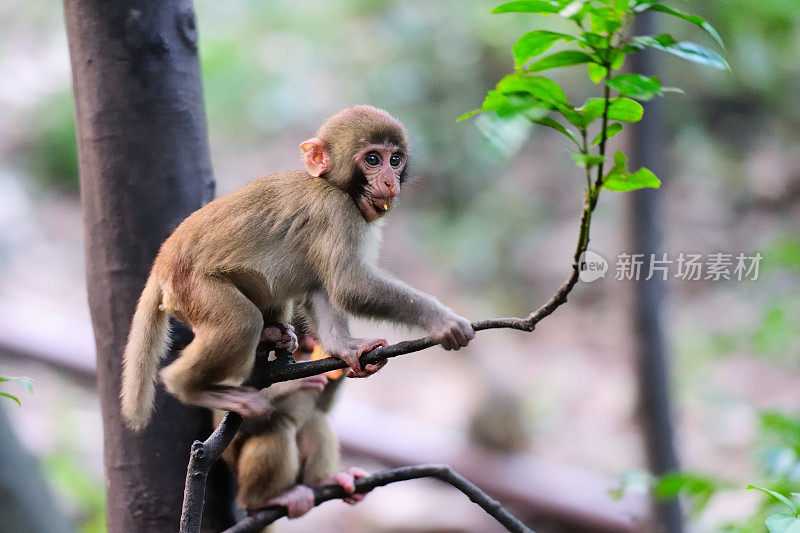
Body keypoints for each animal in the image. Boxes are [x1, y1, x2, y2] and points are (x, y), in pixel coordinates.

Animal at [120, 103, 476, 428]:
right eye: (373, 159)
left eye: (395, 159)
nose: (390, 182)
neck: (331, 185)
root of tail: (163, 261)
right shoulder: (335, 211)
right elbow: (349, 285)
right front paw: (444, 321)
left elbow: (321, 288)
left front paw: (343, 347)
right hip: (192, 285)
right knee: (239, 321)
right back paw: (191, 387)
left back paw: (274, 336)